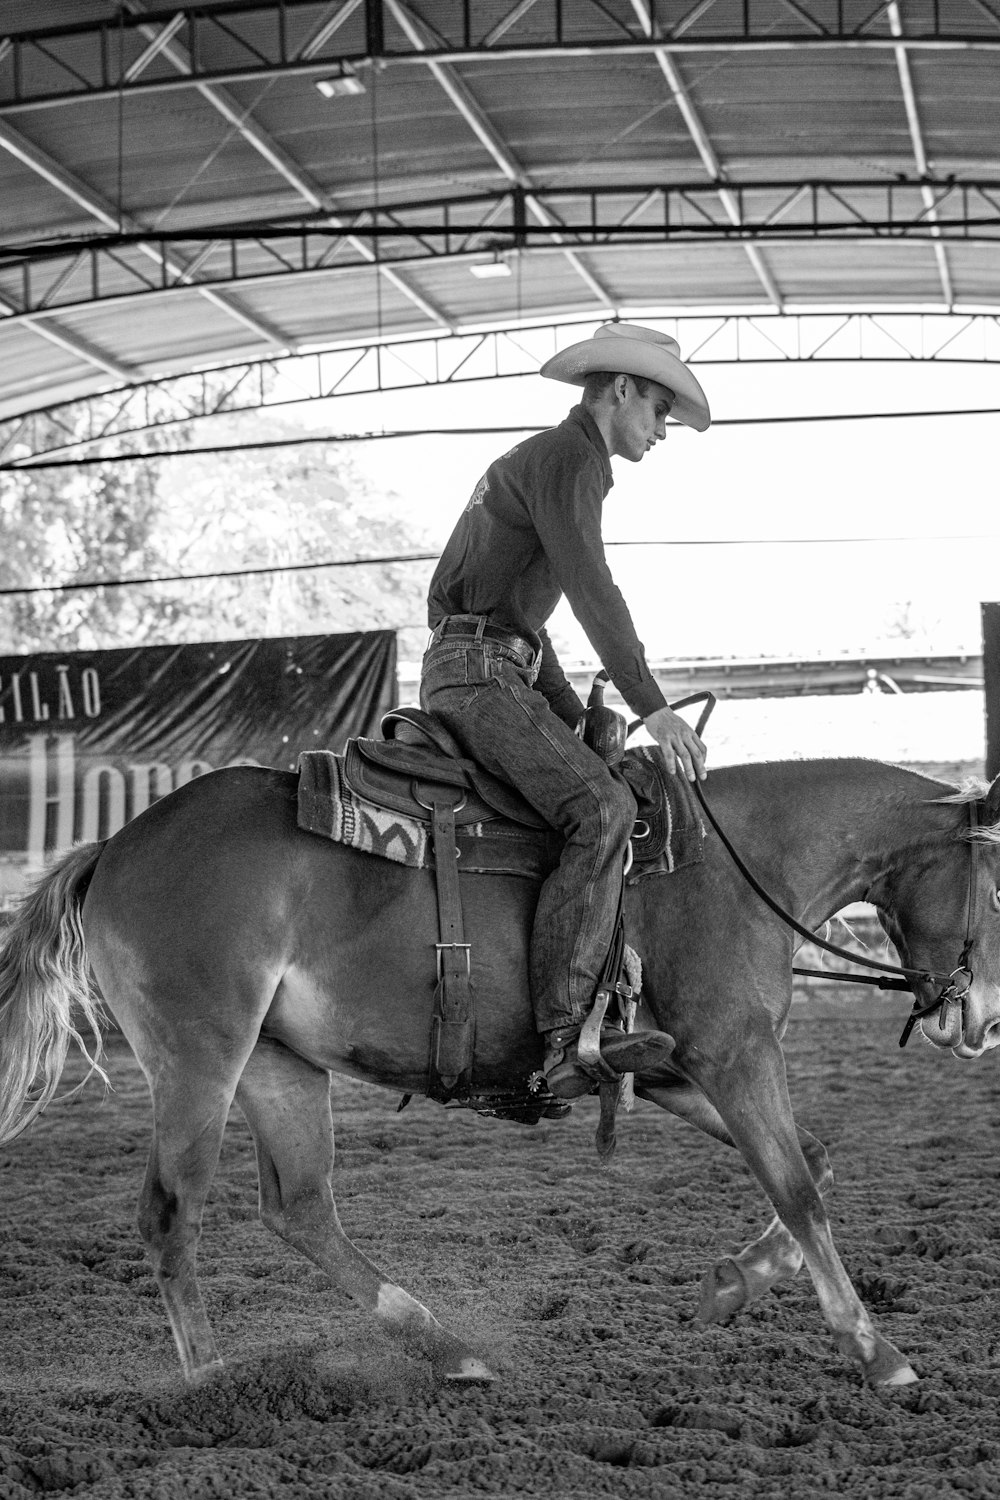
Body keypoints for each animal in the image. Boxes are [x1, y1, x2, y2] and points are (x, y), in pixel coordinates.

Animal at [1, 756, 1000, 1386]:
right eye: (997, 885)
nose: (981, 1017)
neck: (734, 866)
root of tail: (116, 847)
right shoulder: (736, 1054)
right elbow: (799, 1189)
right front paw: (876, 1354)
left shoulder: (680, 1069)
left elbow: (816, 1160)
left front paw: (732, 1286)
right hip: (199, 1060)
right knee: (172, 1216)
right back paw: (209, 1384)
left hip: (277, 1066)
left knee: (300, 1209)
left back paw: (448, 1348)